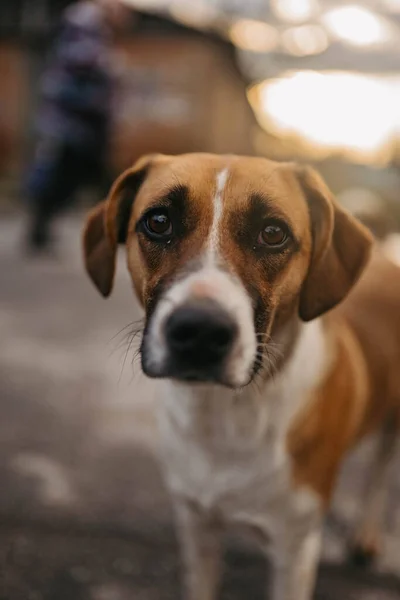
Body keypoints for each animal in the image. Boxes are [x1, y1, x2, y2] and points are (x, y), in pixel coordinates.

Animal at [82, 154, 400, 600]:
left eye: (273, 233)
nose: (200, 331)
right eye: (158, 222)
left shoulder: (294, 550)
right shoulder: (196, 525)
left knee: (380, 472)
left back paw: (367, 533)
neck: (226, 413)